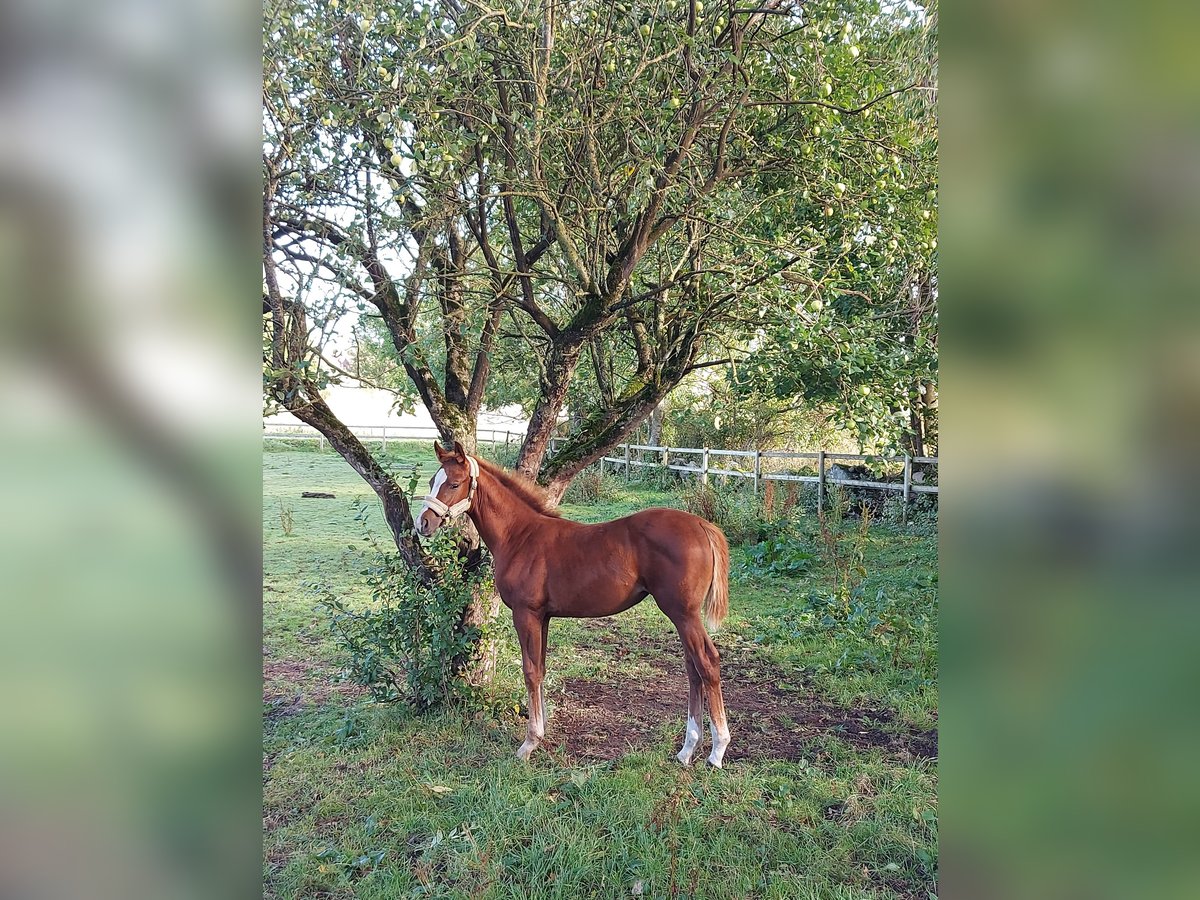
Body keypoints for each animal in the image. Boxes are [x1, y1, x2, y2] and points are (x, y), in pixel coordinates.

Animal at [412, 444, 729, 768]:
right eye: (431, 482)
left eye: (453, 484)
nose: (423, 523)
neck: (519, 535)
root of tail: (702, 524)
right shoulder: (543, 616)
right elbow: (540, 669)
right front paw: (540, 733)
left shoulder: (525, 614)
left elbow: (530, 672)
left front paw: (529, 743)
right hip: (683, 616)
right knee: (693, 668)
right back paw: (688, 749)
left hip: (683, 613)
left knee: (707, 662)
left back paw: (717, 750)